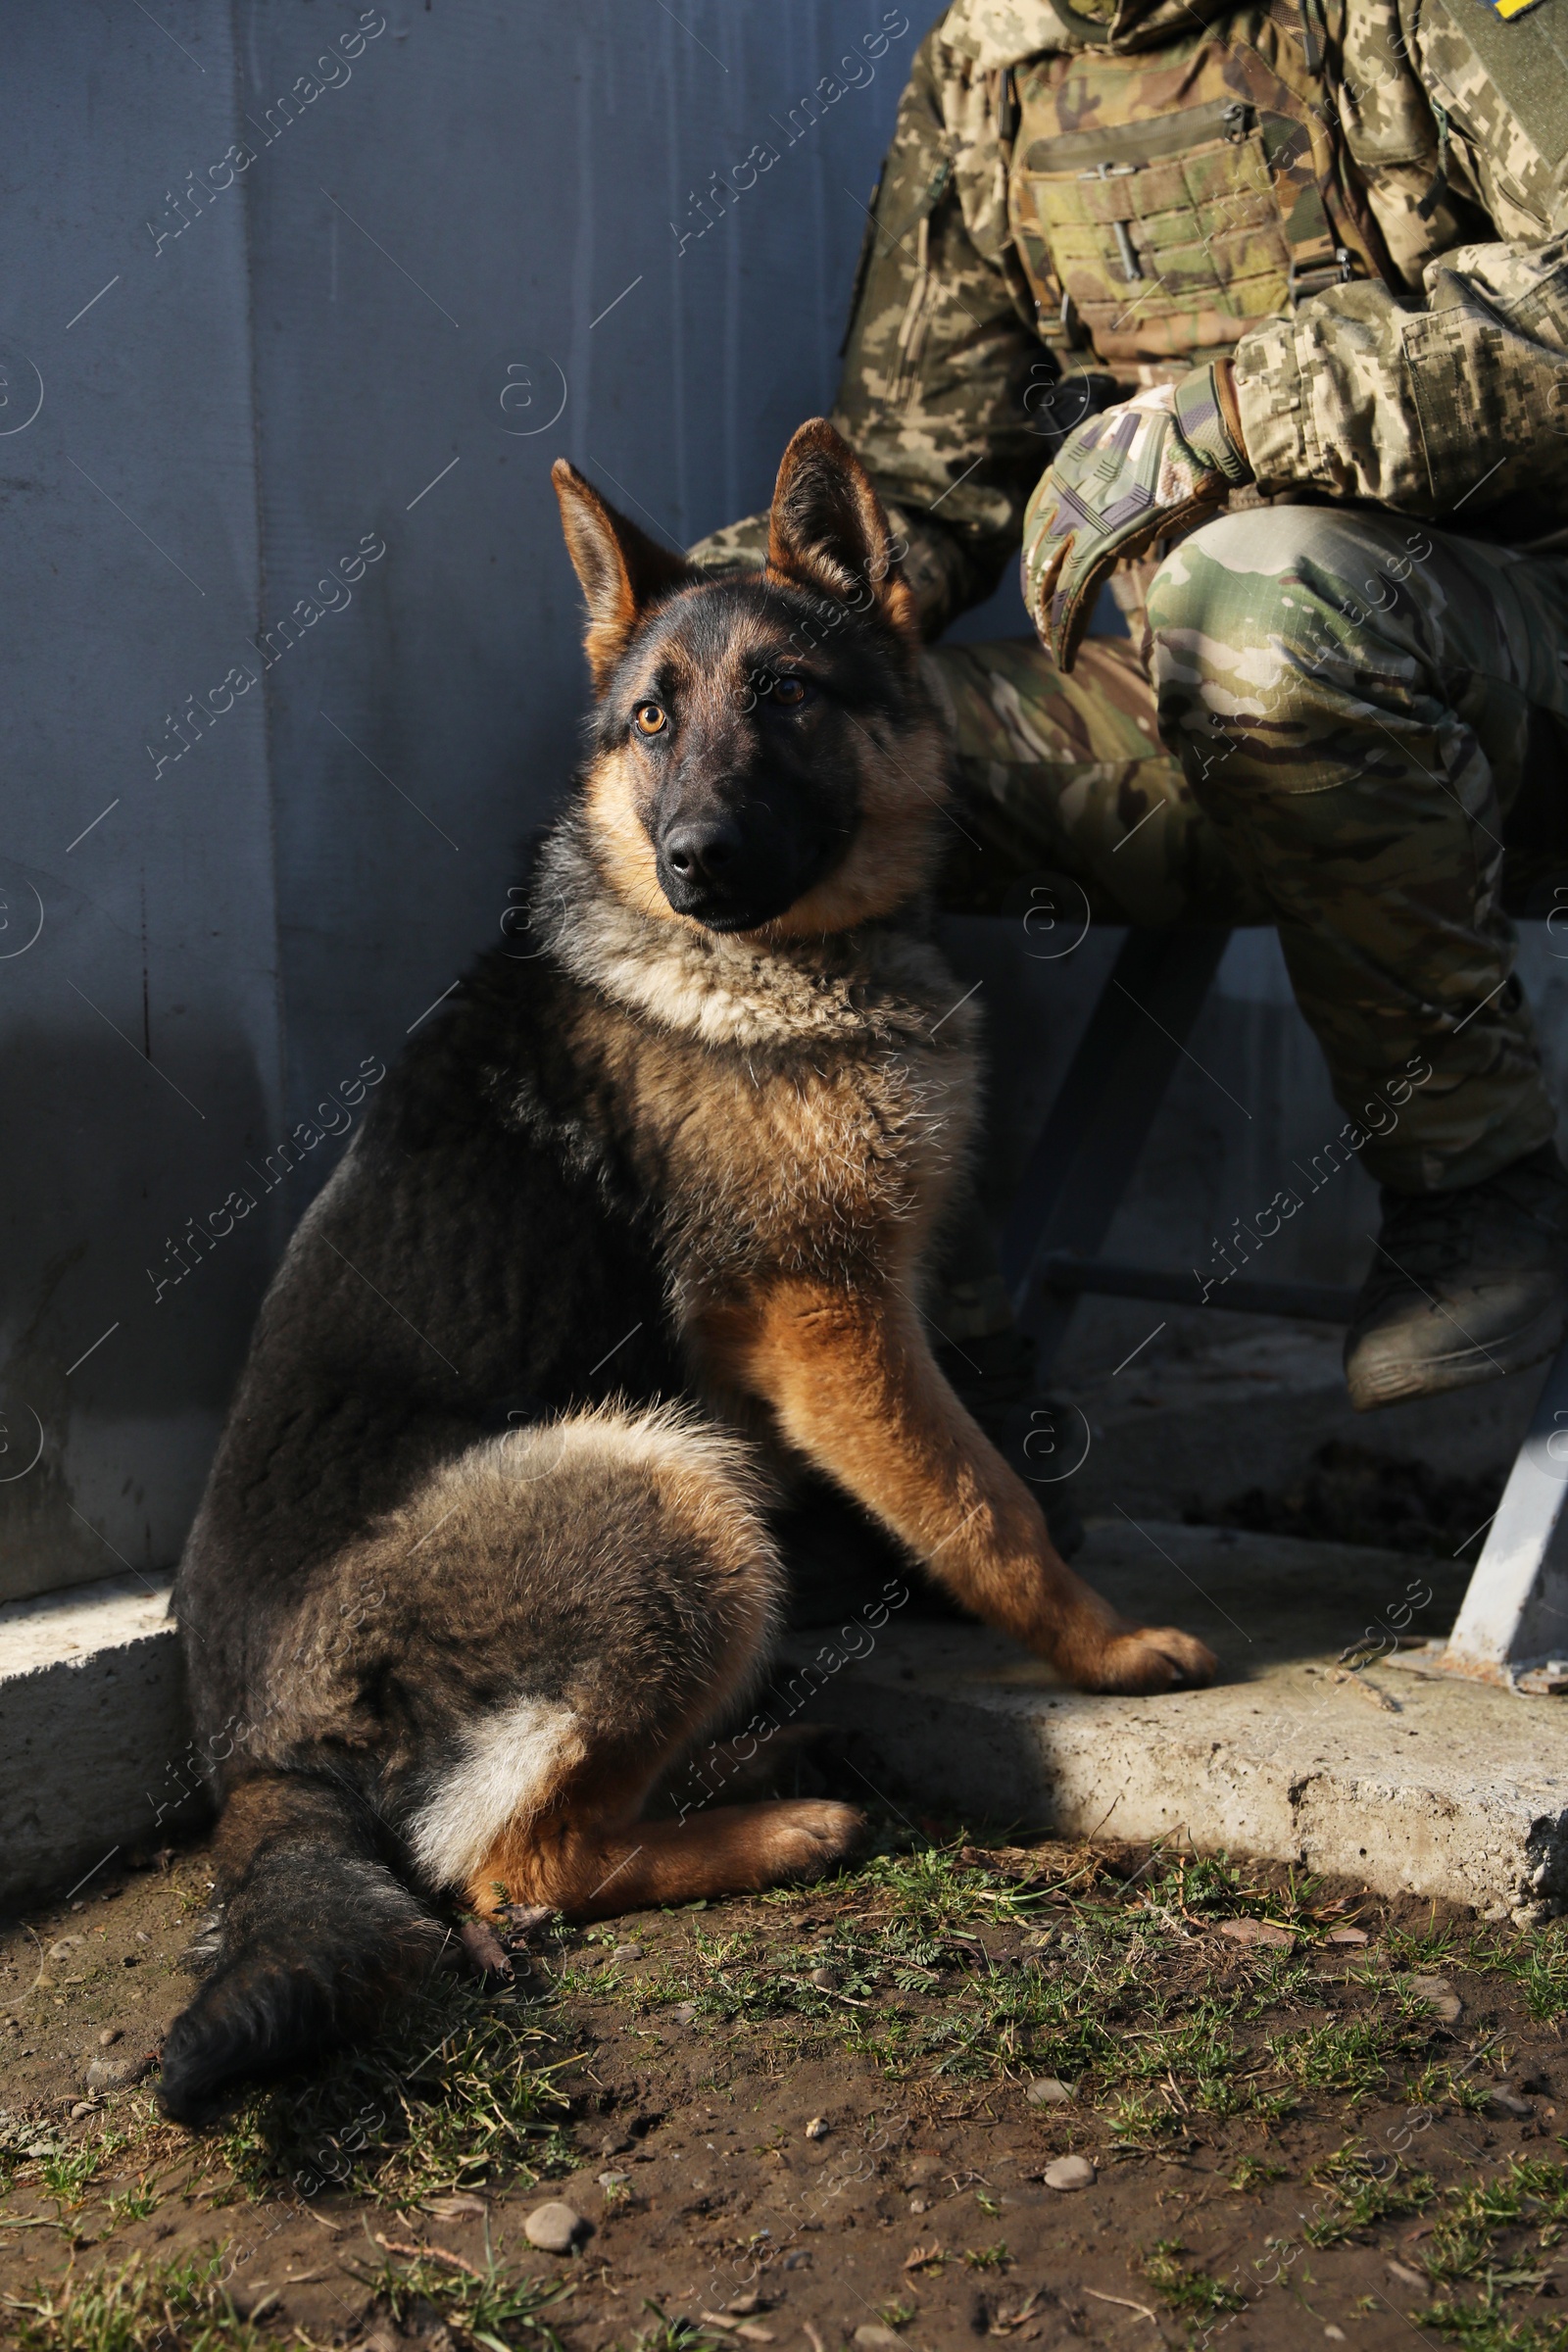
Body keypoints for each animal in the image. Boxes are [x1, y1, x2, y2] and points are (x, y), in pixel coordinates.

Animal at [160, 423, 1212, 2135]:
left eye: (785, 697)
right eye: (651, 721)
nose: (696, 860)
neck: (768, 959)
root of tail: (255, 1754)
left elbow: (953, 1480)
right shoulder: (828, 1319)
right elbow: (975, 1496)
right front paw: (1106, 1650)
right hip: (675, 1496)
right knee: (514, 1867)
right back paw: (779, 1829)